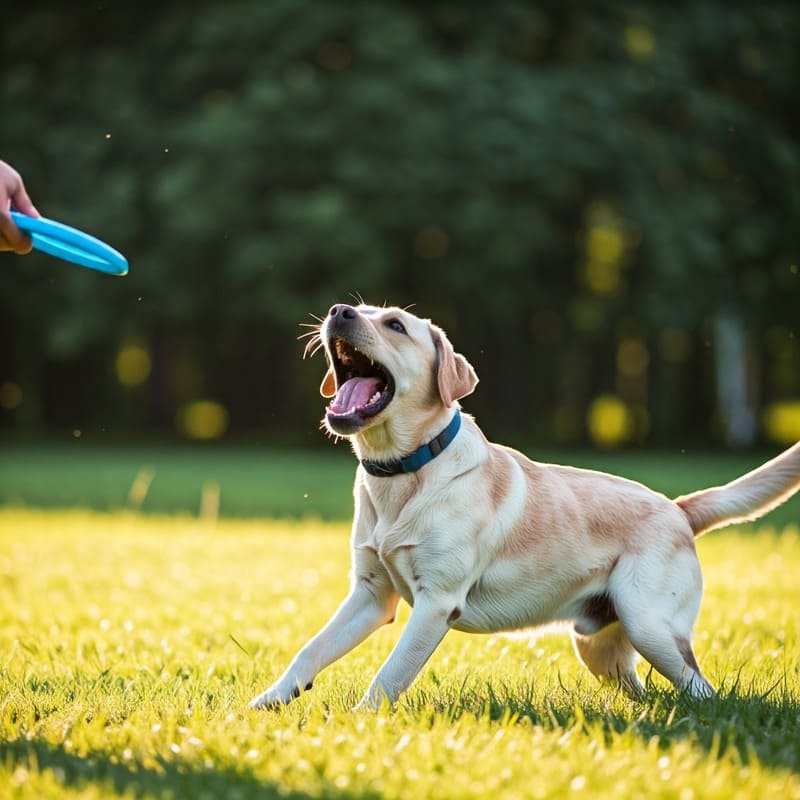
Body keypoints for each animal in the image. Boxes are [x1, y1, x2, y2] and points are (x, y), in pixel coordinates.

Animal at [247, 304, 796, 708]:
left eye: (396, 325)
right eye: (354, 309)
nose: (337, 311)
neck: (404, 473)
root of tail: (678, 508)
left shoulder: (436, 602)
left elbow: (389, 674)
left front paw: (363, 723)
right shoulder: (369, 594)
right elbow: (310, 650)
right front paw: (268, 703)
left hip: (652, 625)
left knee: (702, 688)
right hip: (600, 644)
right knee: (642, 687)